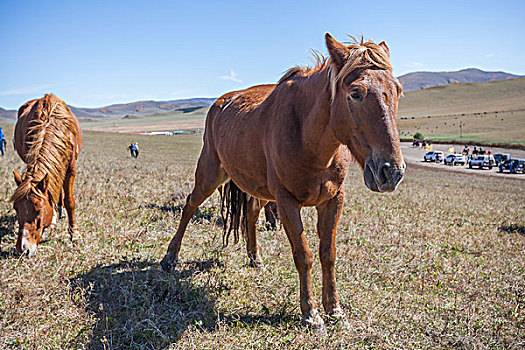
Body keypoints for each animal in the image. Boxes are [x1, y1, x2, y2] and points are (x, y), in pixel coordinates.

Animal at [10, 94, 82, 256]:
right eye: (16, 208)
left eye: (38, 210)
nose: (23, 249)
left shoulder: (71, 168)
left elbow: (69, 200)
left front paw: (75, 234)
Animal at [161, 33, 406, 330]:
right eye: (355, 93)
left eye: (398, 90)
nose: (391, 172)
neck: (308, 138)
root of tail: (221, 103)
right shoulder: (287, 202)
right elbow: (304, 255)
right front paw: (311, 313)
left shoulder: (333, 200)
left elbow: (328, 253)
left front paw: (334, 309)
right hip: (210, 173)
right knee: (189, 206)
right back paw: (170, 258)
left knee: (250, 214)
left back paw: (255, 258)